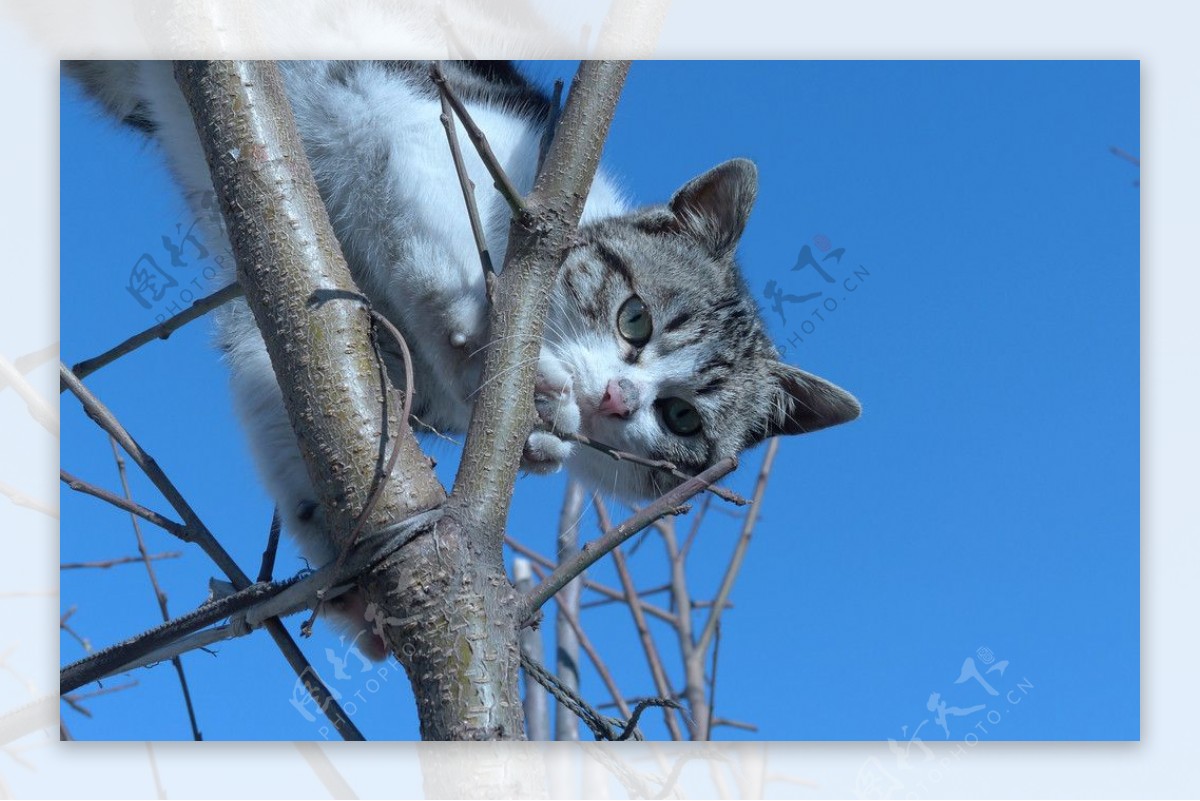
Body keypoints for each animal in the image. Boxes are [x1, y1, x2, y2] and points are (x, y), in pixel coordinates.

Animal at [63, 61, 864, 652]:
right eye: (634, 318)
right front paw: (513, 378)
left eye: (681, 419)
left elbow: (282, 379)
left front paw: (346, 571)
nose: (614, 399)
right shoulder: (420, 128)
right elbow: (444, 257)